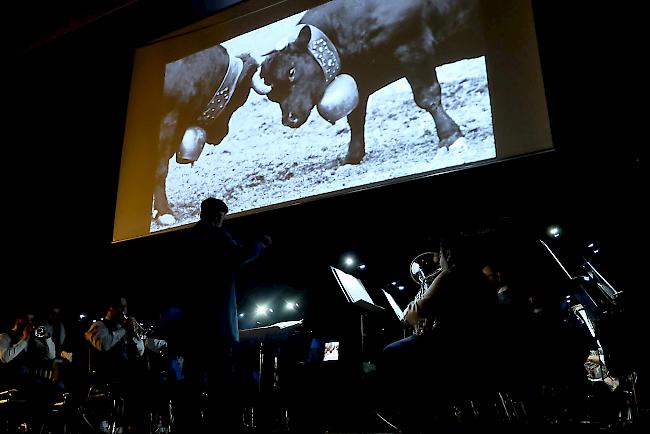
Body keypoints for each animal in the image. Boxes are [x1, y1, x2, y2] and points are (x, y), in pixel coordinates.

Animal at [253, 0, 480, 164]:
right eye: (272, 96)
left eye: (291, 71)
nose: (288, 118)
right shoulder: (360, 80)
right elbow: (355, 118)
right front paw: (352, 156)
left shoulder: (412, 48)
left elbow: (427, 96)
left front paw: (450, 137)